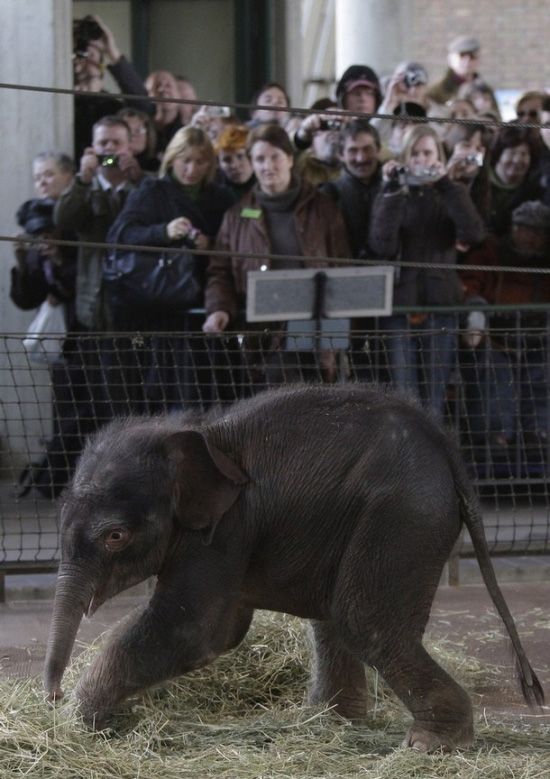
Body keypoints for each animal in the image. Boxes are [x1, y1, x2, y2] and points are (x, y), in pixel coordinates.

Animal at [45, 384, 544, 748]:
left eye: (115, 536)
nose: (51, 695)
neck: (193, 434)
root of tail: (448, 448)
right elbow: (213, 631)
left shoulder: (226, 531)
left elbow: (196, 632)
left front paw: (81, 718)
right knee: (337, 616)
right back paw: (329, 722)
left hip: (403, 514)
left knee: (367, 622)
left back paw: (429, 744)